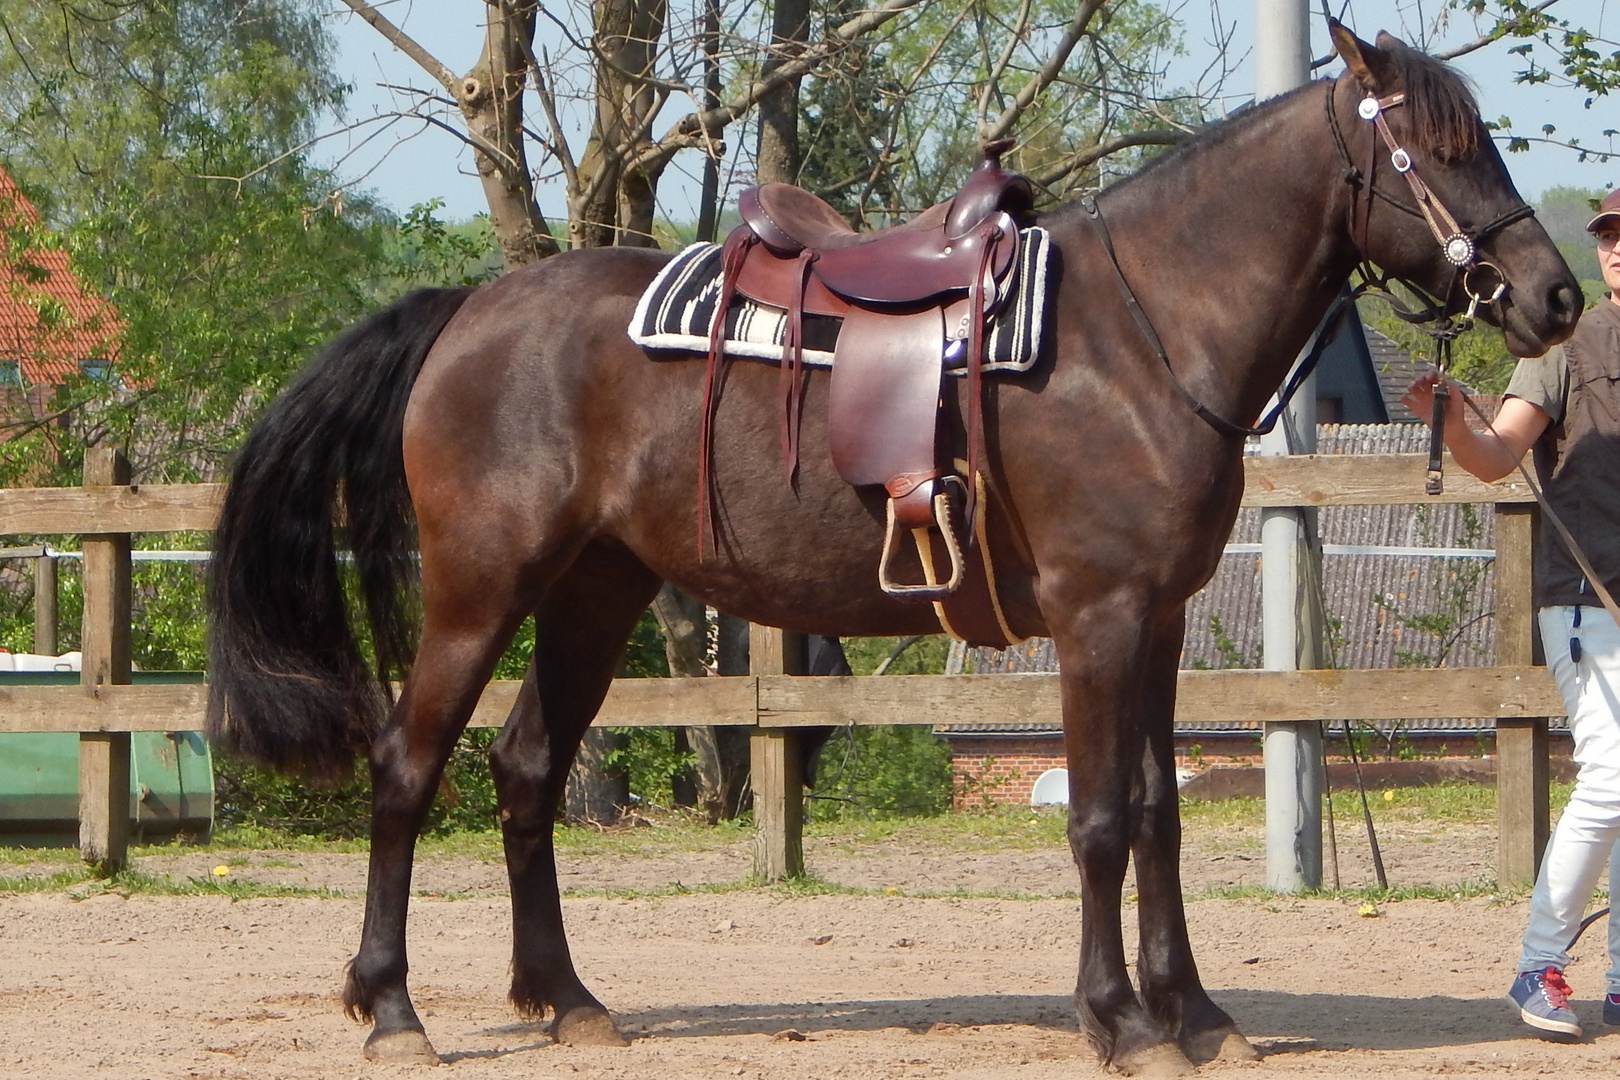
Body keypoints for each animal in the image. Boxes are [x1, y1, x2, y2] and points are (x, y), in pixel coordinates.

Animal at [205, 23, 1581, 1075]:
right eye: (1435, 150)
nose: (1557, 296)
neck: (1139, 336)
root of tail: (469, 311)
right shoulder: (1096, 617)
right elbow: (1098, 820)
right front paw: (1121, 1021)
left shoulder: (1160, 619)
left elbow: (1158, 814)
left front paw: (1195, 1013)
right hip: (480, 591)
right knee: (406, 768)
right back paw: (391, 1008)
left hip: (596, 594)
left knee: (528, 771)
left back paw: (571, 1000)